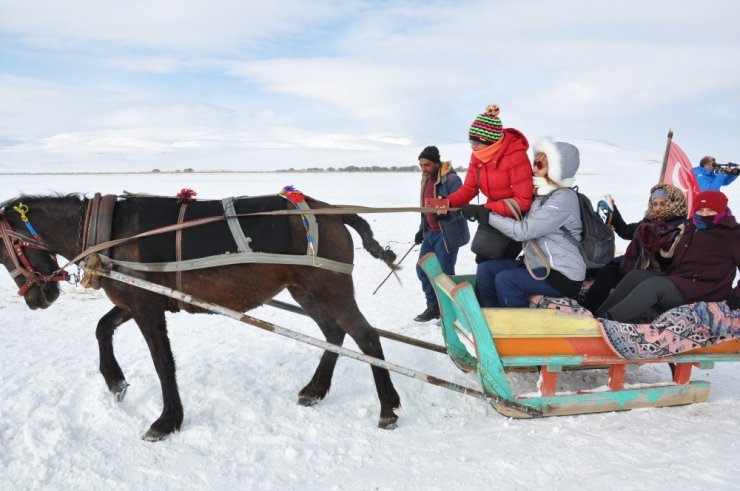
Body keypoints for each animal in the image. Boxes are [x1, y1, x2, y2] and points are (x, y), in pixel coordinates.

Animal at [0, 193, 402, 442]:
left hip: (330, 289)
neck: (111, 234)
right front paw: (115, 381)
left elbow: (162, 362)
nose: (38, 298)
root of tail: (331, 210)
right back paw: (315, 389)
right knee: (334, 332)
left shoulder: (146, 307)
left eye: (4, 251)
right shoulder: (137, 300)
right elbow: (102, 328)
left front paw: (167, 420)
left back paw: (387, 407)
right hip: (303, 290)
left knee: (366, 337)